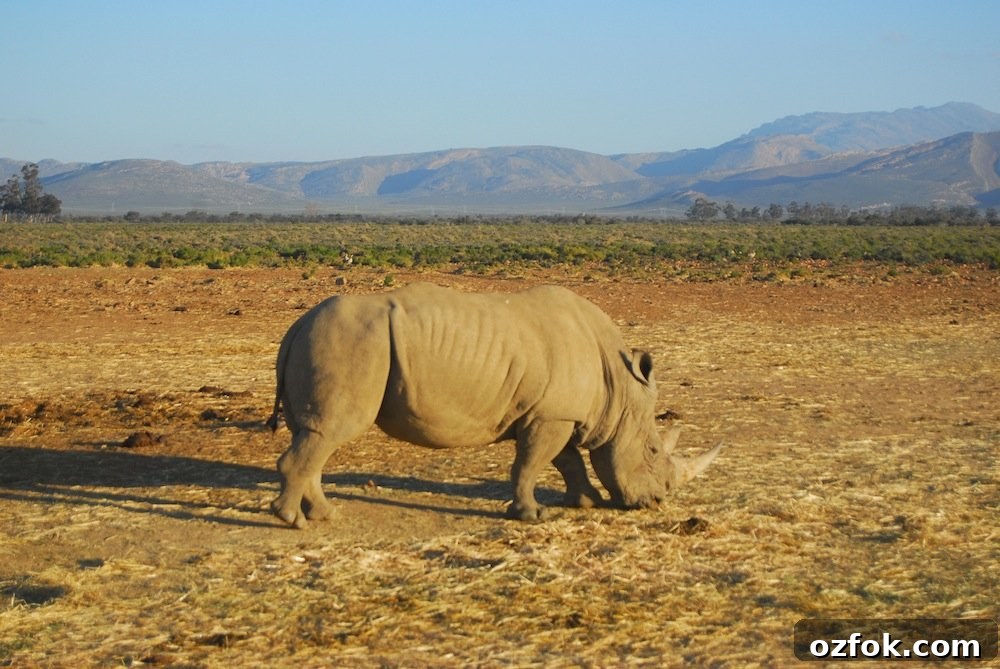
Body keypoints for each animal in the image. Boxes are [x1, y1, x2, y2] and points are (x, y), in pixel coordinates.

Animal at [267, 283, 722, 528]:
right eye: (652, 451)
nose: (657, 502)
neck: (619, 389)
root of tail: (297, 325)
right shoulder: (550, 416)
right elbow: (533, 463)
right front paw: (532, 515)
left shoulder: (555, 412)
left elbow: (568, 461)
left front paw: (585, 502)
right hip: (351, 342)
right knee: (328, 432)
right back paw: (293, 521)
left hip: (330, 340)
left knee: (315, 433)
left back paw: (324, 515)